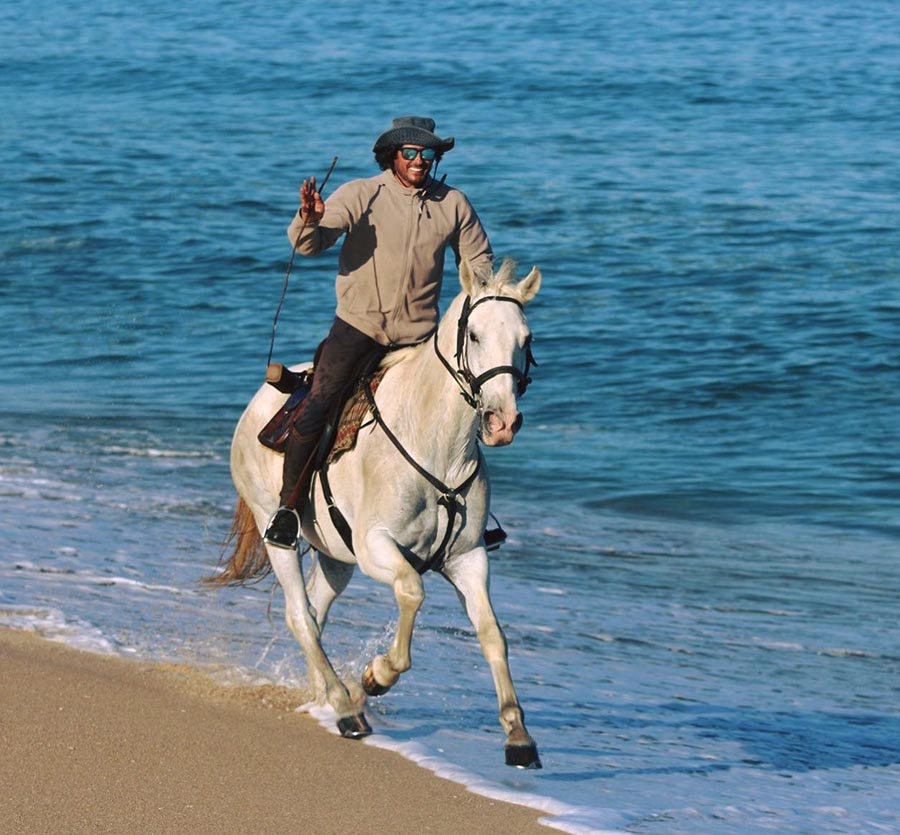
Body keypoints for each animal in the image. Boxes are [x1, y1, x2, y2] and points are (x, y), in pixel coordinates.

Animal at [213, 258, 540, 768]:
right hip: (280, 533)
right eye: (475, 335)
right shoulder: (376, 548)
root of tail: (258, 405)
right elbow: (411, 591)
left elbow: (492, 633)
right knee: (299, 614)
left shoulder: (467, 558)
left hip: (335, 557)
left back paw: (326, 695)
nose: (502, 422)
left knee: (316, 609)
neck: (436, 445)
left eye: (525, 339)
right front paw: (377, 675)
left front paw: (518, 734)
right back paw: (347, 708)